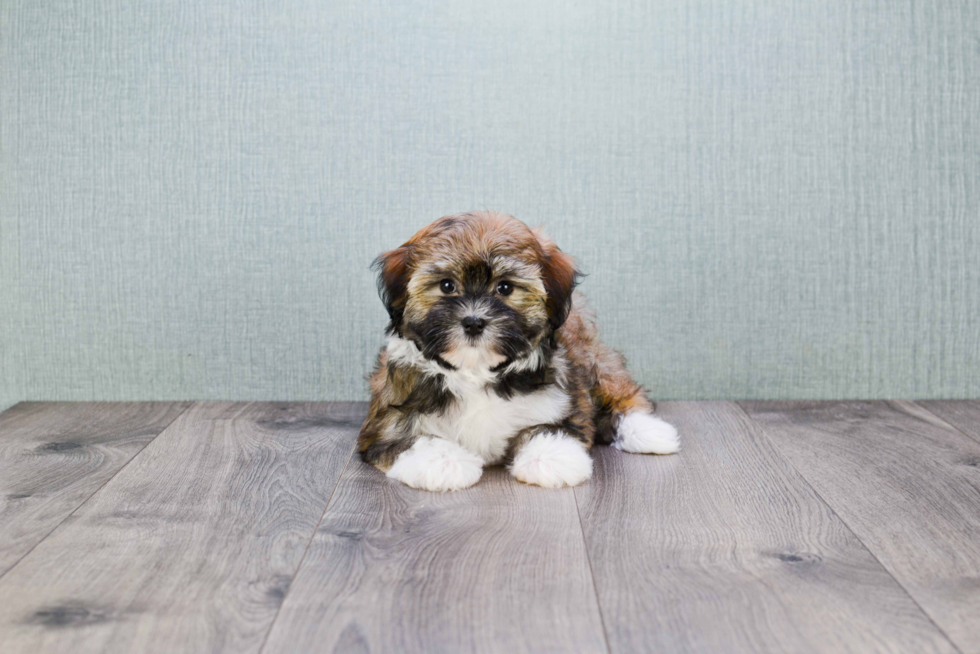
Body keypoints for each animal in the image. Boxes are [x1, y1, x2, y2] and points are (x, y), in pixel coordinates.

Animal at [360, 213, 680, 494]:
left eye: (504, 287)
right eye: (447, 285)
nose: (473, 321)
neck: (474, 371)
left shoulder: (565, 402)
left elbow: (550, 428)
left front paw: (549, 457)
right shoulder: (386, 420)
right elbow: (410, 441)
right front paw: (445, 462)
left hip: (591, 359)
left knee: (619, 390)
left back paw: (650, 432)